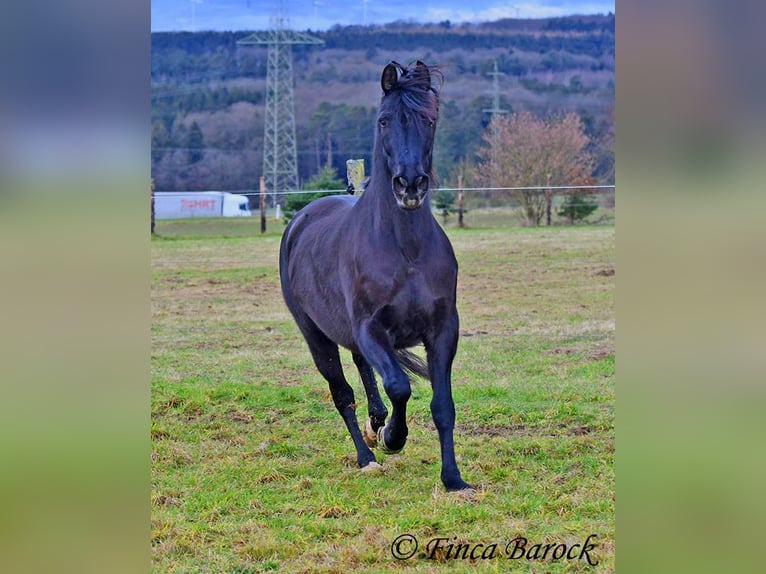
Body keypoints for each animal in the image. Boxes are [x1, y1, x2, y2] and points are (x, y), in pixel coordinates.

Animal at [282, 63, 474, 496]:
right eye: (384, 120)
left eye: (429, 120)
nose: (410, 185)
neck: (406, 250)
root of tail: (302, 219)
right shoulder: (372, 330)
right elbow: (400, 386)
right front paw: (392, 438)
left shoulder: (443, 330)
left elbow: (443, 405)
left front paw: (453, 479)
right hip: (316, 337)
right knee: (343, 394)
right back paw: (367, 455)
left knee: (364, 374)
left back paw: (375, 426)